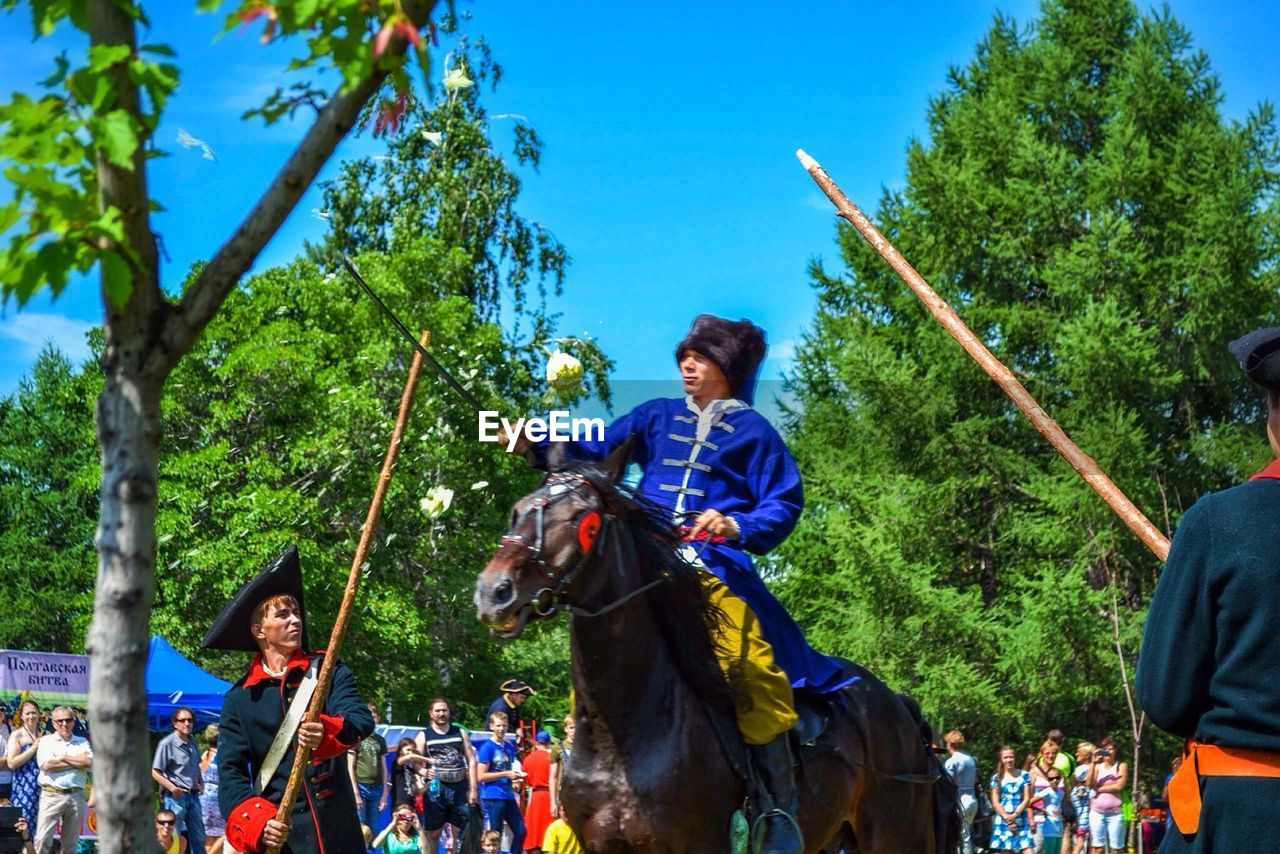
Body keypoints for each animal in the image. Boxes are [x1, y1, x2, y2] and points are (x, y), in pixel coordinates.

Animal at [476, 448, 957, 854]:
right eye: (516, 510)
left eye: (583, 519)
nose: (494, 592)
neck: (625, 736)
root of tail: (896, 705)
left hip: (896, 838)